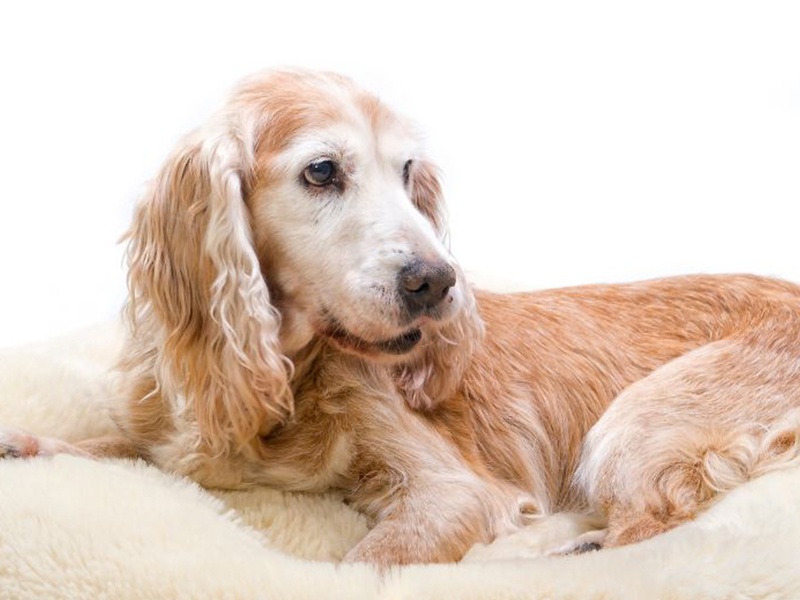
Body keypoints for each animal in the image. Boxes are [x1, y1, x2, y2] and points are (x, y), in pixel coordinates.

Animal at [4, 68, 800, 564]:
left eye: (410, 171)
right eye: (322, 170)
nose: (438, 282)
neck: (289, 380)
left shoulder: (450, 493)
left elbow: (360, 567)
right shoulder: (183, 448)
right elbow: (119, 448)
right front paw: (34, 445)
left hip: (633, 424)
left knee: (646, 528)